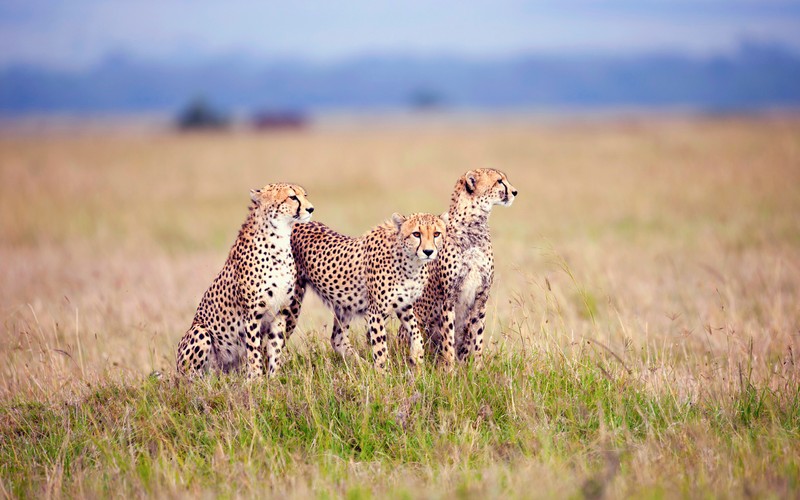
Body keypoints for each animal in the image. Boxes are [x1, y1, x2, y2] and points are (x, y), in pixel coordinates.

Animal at [177, 184, 314, 378]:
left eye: (305, 195)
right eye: (292, 197)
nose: (311, 209)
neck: (279, 242)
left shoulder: (279, 313)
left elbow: (275, 349)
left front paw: (273, 378)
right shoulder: (252, 315)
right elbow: (254, 352)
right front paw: (256, 380)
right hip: (199, 331)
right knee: (191, 378)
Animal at [282, 213, 446, 370]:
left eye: (436, 234)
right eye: (416, 234)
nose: (428, 251)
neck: (410, 262)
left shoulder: (404, 305)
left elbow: (416, 333)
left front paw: (417, 358)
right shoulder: (376, 311)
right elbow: (381, 349)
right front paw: (383, 375)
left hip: (344, 305)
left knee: (337, 339)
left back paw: (362, 365)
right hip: (293, 302)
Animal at [410, 168, 516, 368]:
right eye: (499, 181)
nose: (515, 192)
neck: (474, 226)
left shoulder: (481, 296)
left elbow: (477, 337)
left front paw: (476, 368)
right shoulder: (448, 298)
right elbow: (448, 339)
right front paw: (449, 369)